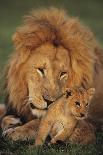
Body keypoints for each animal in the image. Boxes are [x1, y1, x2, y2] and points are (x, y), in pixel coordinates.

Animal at [0, 7, 102, 140]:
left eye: (63, 73)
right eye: (40, 70)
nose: (50, 102)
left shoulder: (86, 123)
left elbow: (40, 122)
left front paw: (15, 130)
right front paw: (11, 120)